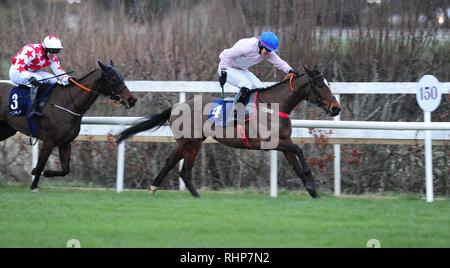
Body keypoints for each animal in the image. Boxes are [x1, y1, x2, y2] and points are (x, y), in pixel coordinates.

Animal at [0, 60, 137, 191]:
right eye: (113, 79)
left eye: (121, 77)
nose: (132, 100)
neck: (68, 103)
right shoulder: (49, 141)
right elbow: (40, 165)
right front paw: (33, 185)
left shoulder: (65, 142)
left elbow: (65, 170)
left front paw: (46, 173)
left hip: (7, 129)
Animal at [117, 66, 342, 198]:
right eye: (321, 85)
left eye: (329, 84)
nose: (336, 108)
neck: (274, 106)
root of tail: (176, 106)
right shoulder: (271, 142)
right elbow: (299, 150)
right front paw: (311, 180)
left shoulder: (283, 143)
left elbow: (296, 163)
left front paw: (313, 192)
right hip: (190, 143)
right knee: (182, 169)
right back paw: (195, 196)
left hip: (191, 142)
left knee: (172, 163)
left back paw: (156, 188)